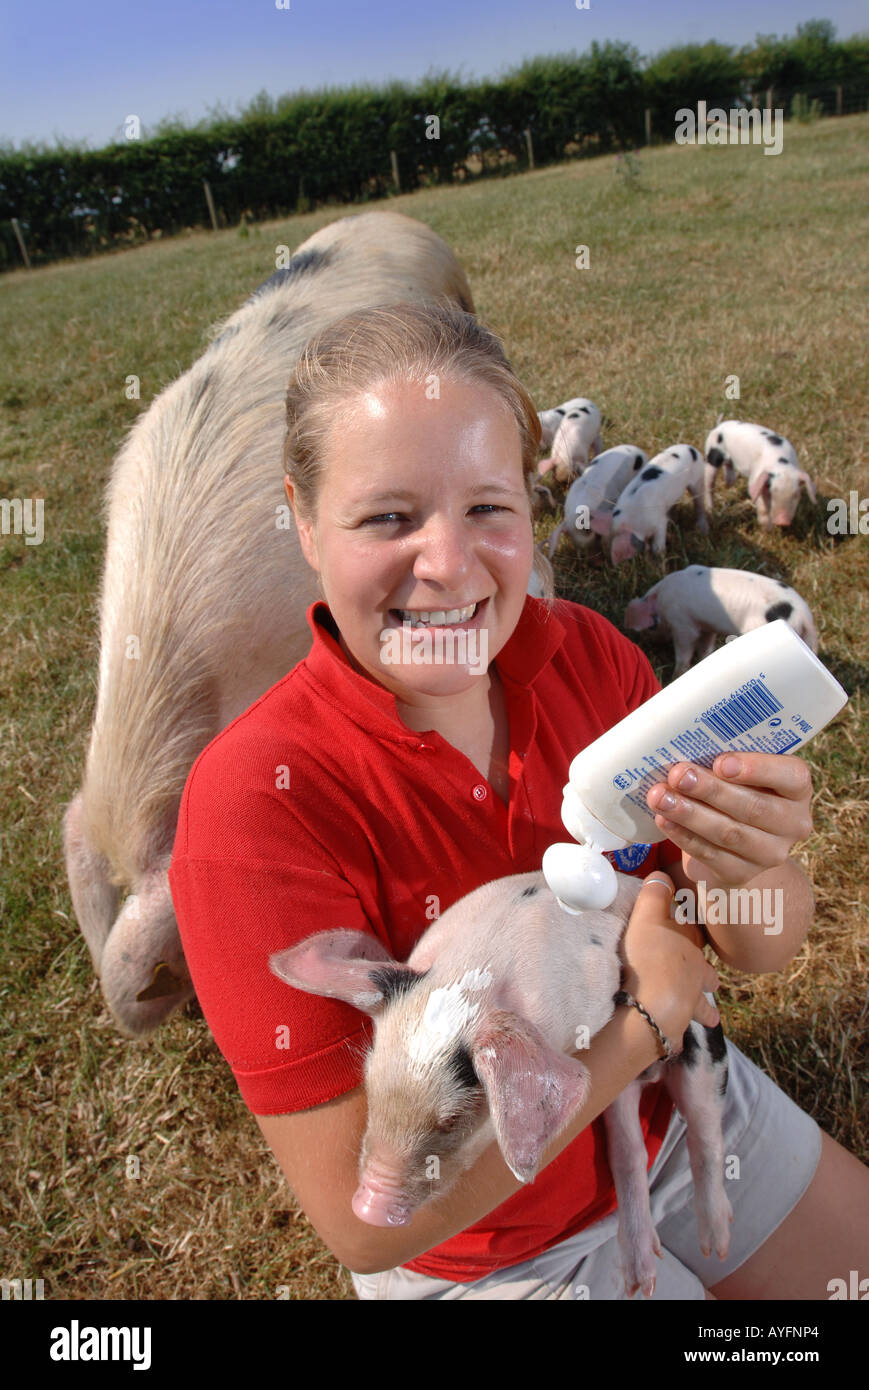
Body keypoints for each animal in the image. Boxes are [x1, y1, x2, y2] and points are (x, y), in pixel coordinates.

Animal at [272, 867, 734, 1301]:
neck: (473, 981)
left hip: (703, 1042)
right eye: (370, 1087)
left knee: (706, 1128)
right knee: (629, 1152)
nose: (367, 1206)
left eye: (451, 1118)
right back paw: (641, 1281)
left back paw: (715, 1245)